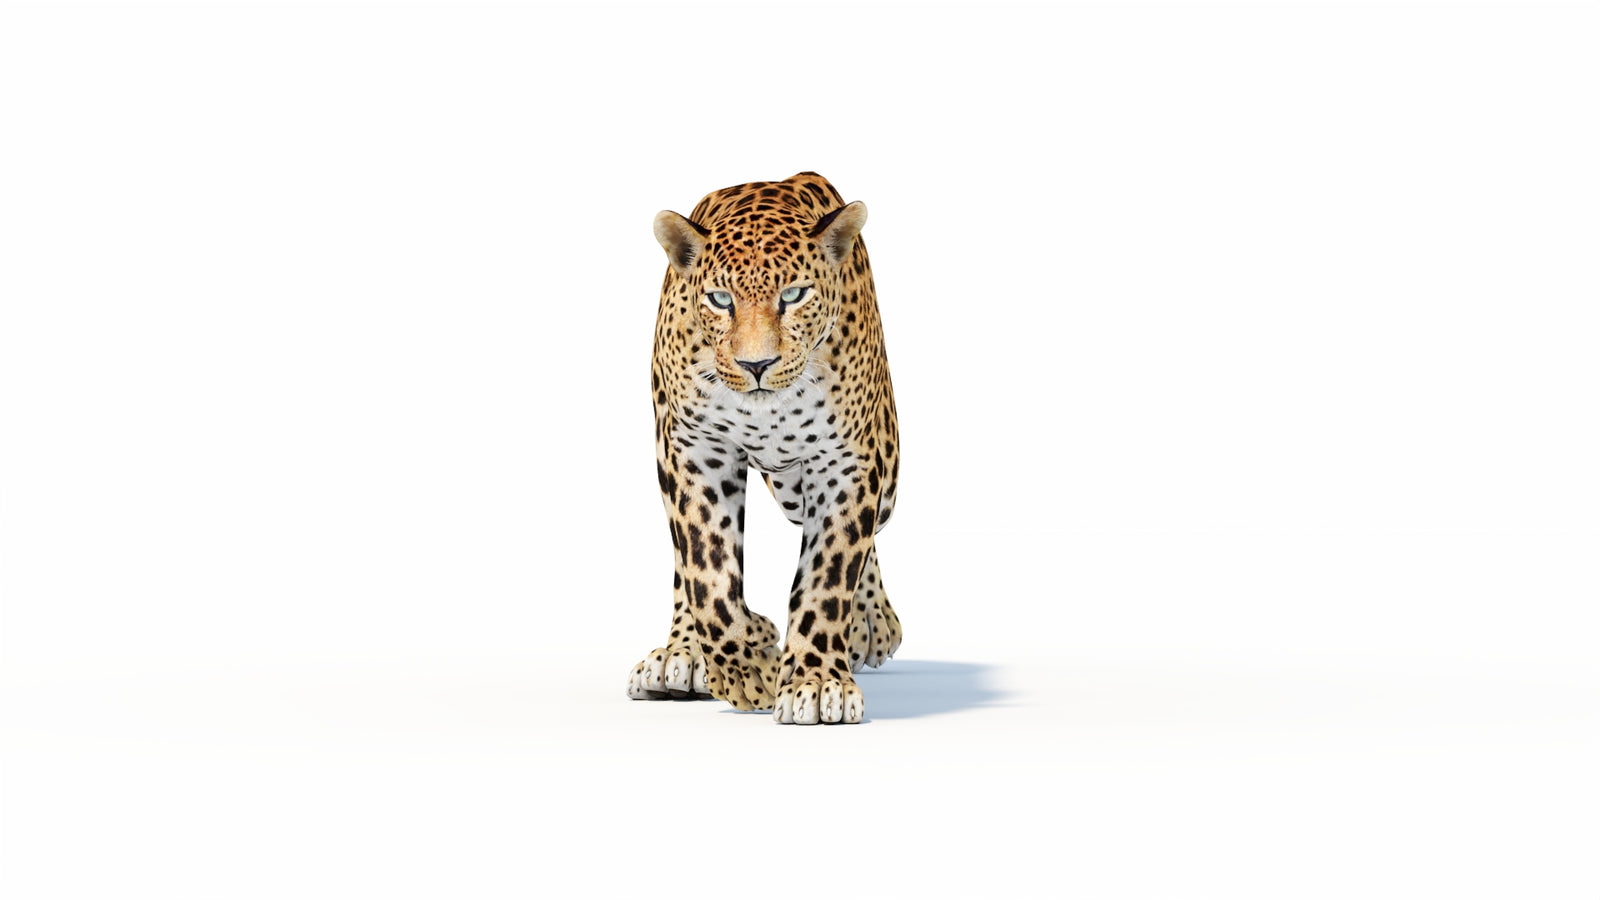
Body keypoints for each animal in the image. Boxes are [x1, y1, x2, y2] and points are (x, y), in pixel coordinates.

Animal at [626, 172, 903, 725]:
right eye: (719, 299)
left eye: (794, 295)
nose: (756, 365)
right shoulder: (694, 451)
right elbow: (707, 573)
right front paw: (749, 666)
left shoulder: (845, 462)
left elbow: (830, 573)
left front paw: (816, 682)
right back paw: (681, 653)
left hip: (860, 472)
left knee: (870, 535)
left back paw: (871, 623)